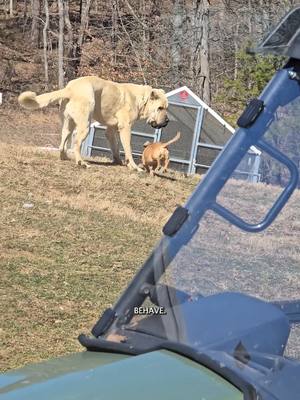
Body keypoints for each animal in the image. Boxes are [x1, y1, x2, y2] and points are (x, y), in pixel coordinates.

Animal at [18, 76, 169, 170]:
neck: (141, 99)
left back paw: (65, 158)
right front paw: (134, 167)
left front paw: (118, 162)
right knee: (76, 144)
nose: (167, 121)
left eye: (166, 107)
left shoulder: (110, 131)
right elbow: (128, 149)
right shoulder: (125, 128)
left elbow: (115, 148)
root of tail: (70, 88)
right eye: (160, 108)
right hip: (85, 125)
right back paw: (81, 162)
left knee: (62, 144)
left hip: (68, 125)